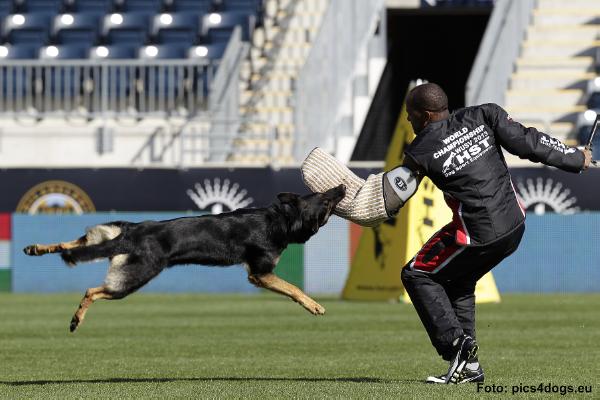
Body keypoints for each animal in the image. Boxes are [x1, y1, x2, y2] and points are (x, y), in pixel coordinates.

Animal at [23, 184, 344, 332]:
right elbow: (294, 289)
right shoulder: (260, 274)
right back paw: (76, 318)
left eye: (323, 193)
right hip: (135, 277)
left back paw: (37, 248)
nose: (341, 187)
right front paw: (314, 305)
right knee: (92, 290)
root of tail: (133, 231)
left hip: (107, 237)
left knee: (73, 243)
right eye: (326, 201)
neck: (282, 219)